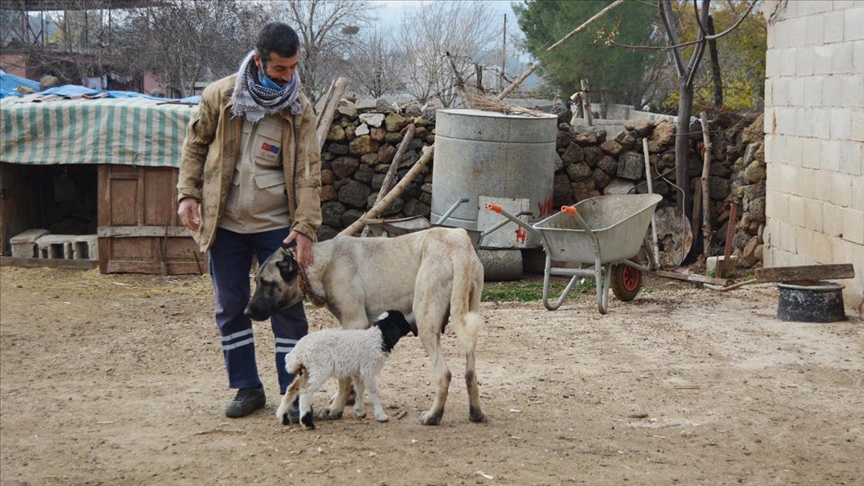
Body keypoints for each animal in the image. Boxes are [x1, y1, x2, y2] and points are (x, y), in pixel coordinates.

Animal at [274, 312, 416, 430]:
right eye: (401, 320)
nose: (412, 328)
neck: (378, 338)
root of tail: (297, 351)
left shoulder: (357, 371)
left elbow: (359, 388)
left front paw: (360, 411)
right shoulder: (368, 370)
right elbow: (373, 391)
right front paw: (381, 415)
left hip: (307, 371)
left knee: (292, 389)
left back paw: (281, 417)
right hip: (319, 369)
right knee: (305, 393)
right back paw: (307, 423)